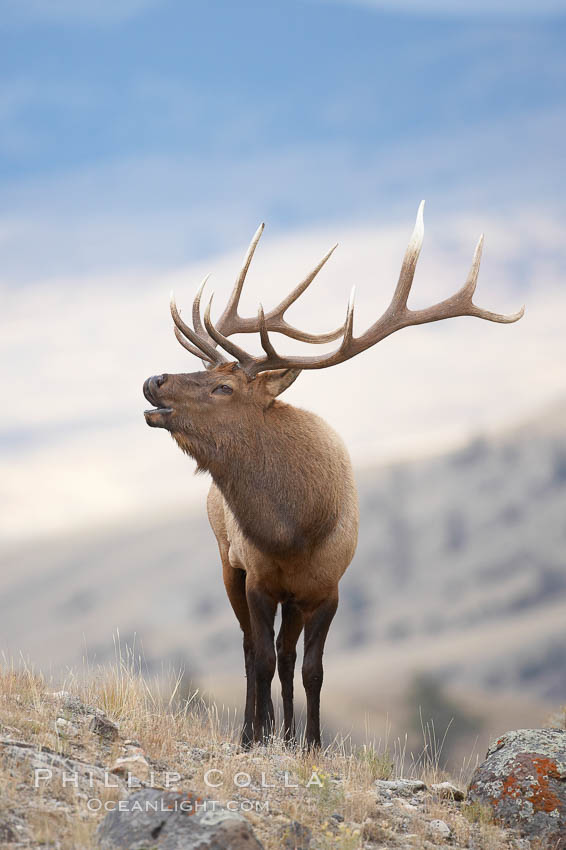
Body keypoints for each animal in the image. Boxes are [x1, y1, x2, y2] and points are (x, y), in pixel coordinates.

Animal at [144, 205, 524, 748]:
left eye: (222, 387)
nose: (153, 380)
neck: (295, 531)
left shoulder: (329, 589)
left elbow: (312, 670)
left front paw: (311, 743)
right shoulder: (258, 577)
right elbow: (259, 658)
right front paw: (259, 736)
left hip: (291, 596)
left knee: (285, 655)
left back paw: (286, 732)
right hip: (226, 559)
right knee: (250, 649)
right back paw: (254, 730)